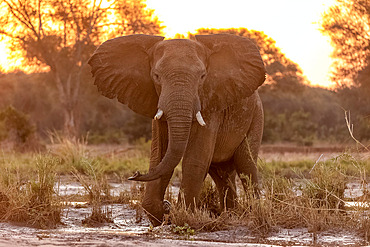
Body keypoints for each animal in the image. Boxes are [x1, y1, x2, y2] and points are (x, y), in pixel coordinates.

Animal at [88, 33, 264, 227]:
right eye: (156, 76)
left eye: (202, 76)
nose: (135, 174)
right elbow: (160, 154)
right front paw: (163, 212)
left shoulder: (210, 101)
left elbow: (194, 159)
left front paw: (182, 215)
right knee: (222, 173)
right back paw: (231, 215)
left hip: (256, 116)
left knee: (245, 164)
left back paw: (252, 213)